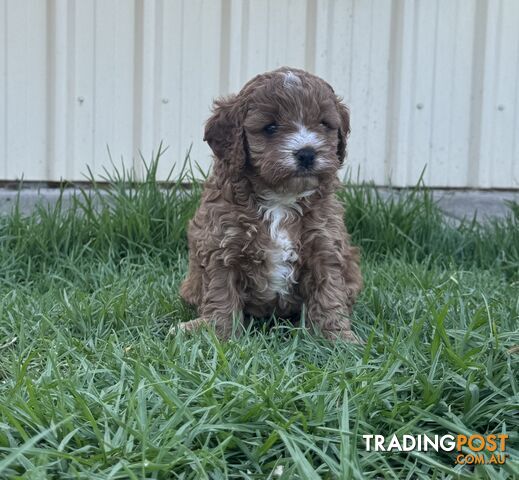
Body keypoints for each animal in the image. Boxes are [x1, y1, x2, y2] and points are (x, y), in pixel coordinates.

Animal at [181, 67, 364, 342]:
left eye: (324, 124)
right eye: (270, 127)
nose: (307, 153)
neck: (281, 198)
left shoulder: (325, 245)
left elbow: (328, 293)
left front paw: (337, 337)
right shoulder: (221, 245)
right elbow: (221, 293)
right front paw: (218, 334)